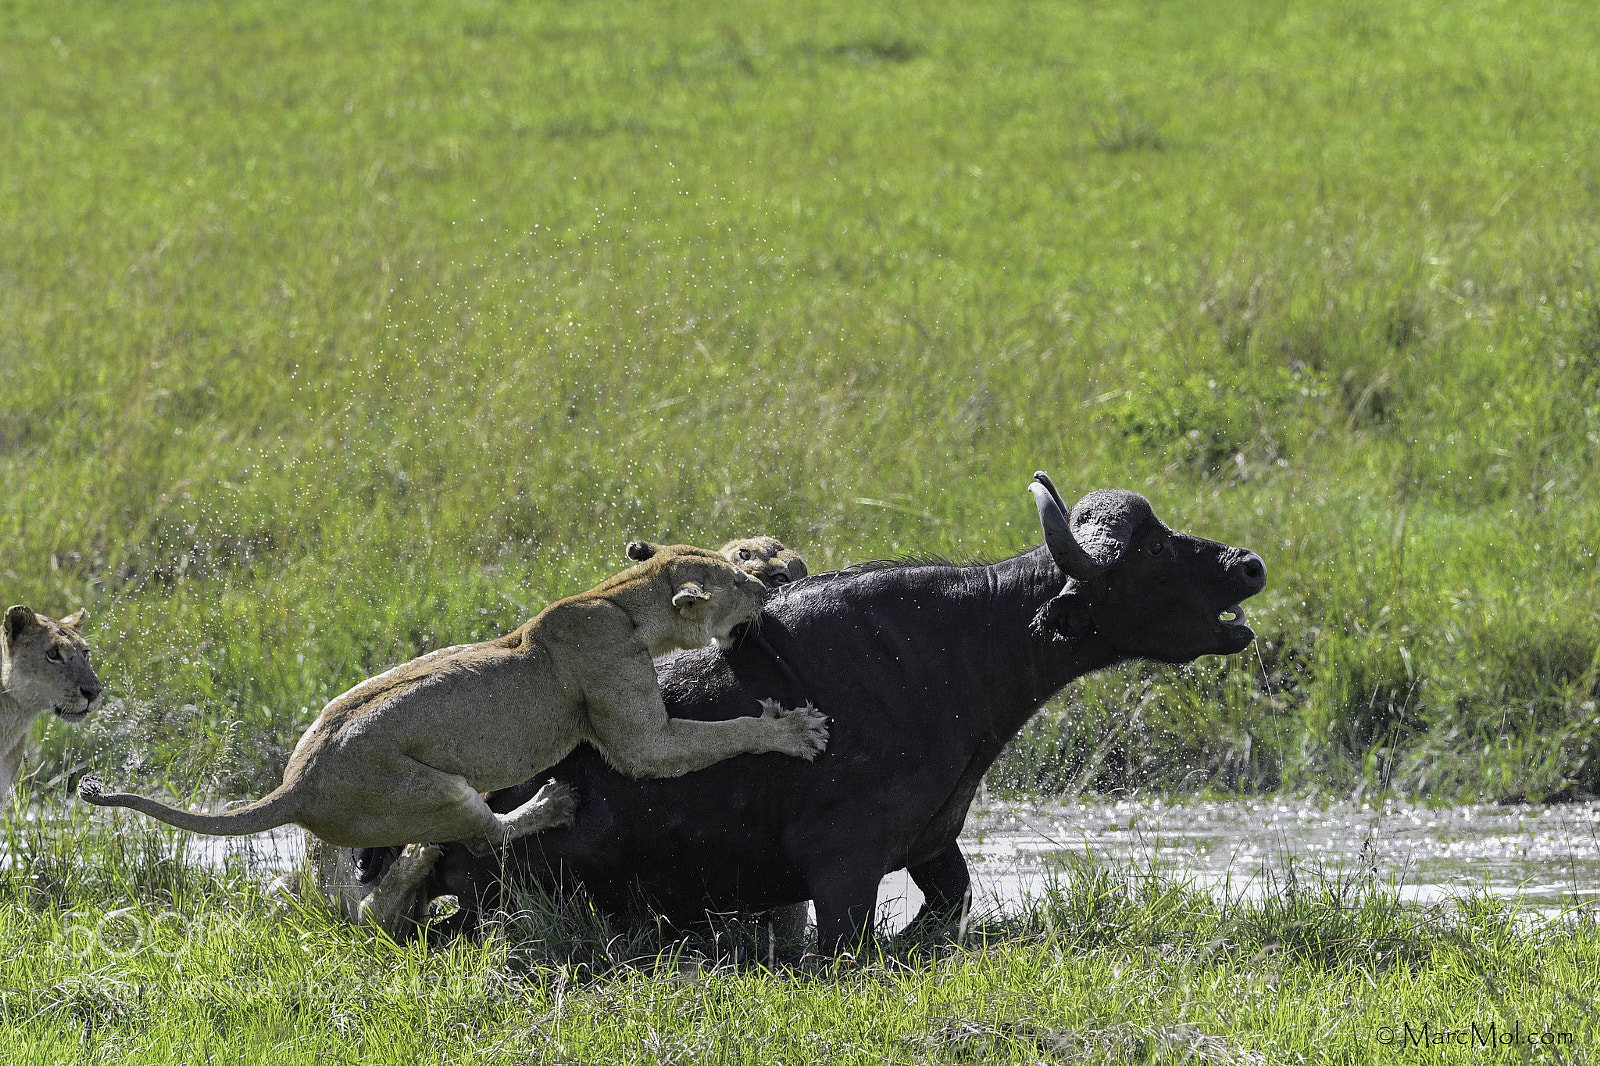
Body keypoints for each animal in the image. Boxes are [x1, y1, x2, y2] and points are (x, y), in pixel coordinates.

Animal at [339, 473, 1266, 953]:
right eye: (1153, 551)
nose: (1249, 565)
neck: (954, 656)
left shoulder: (934, 844)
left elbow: (950, 906)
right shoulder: (843, 862)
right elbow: (853, 945)